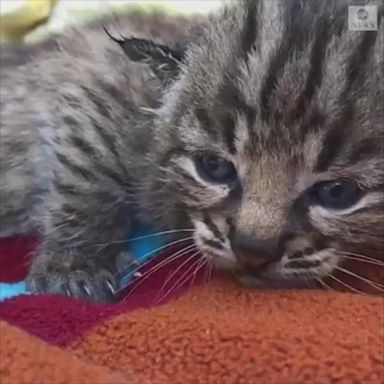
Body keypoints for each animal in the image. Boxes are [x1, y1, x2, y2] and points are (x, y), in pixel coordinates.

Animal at [0, 0, 384, 302]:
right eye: (213, 167)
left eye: (338, 193)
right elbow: (88, 174)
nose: (252, 251)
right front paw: (72, 265)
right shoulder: (100, 84)